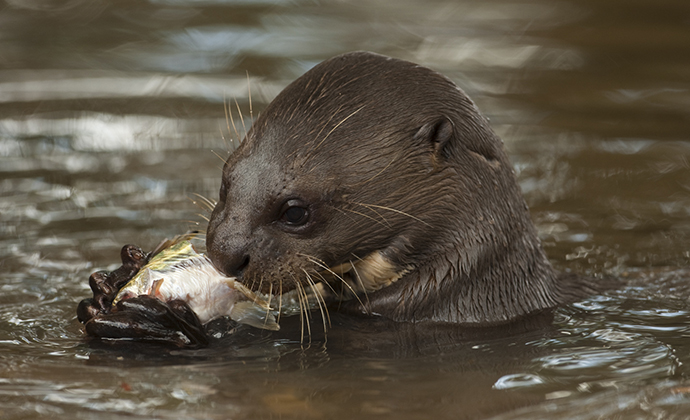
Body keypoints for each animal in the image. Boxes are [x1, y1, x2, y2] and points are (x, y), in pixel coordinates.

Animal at [74, 50, 592, 344]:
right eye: (225, 180)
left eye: (295, 211)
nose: (223, 255)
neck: (471, 284)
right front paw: (113, 282)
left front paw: (155, 320)